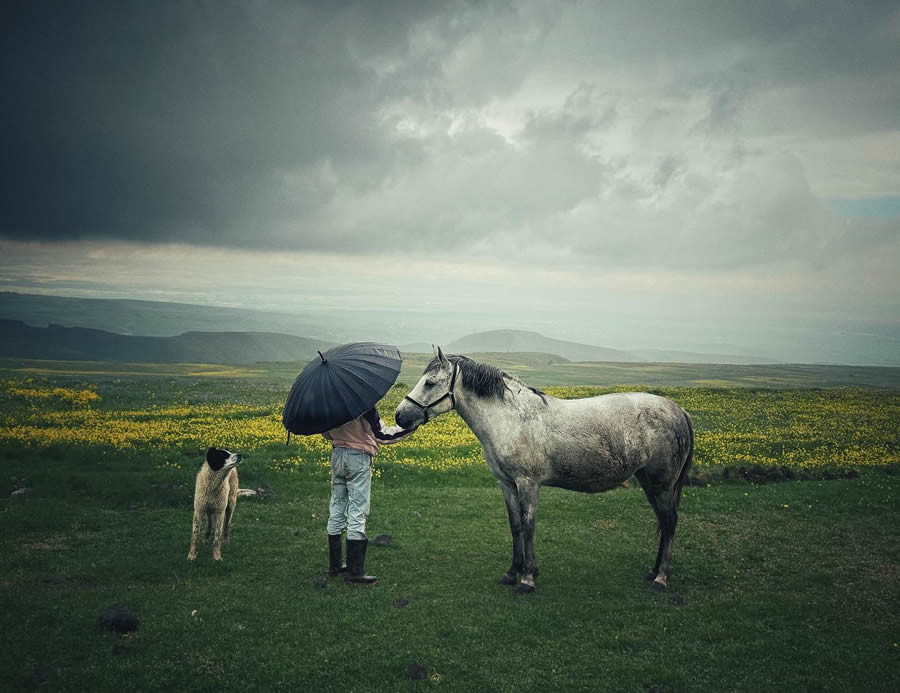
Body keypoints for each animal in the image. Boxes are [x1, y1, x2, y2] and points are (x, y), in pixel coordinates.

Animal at [396, 348, 696, 592]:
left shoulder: (528, 483)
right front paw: (512, 573)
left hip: (662, 484)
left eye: (430, 383)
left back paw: (661, 578)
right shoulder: (507, 484)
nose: (400, 416)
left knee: (669, 521)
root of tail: (679, 411)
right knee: (663, 521)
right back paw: (653, 572)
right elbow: (515, 525)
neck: (511, 419)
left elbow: (529, 526)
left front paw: (528, 578)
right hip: (650, 483)